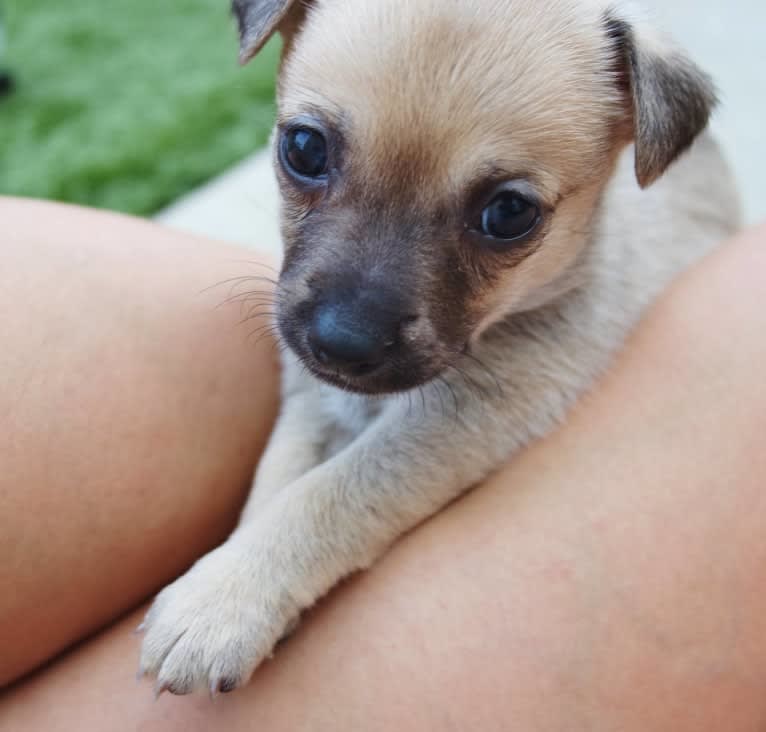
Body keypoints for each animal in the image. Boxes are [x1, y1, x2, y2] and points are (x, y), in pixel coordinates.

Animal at [136, 0, 736, 696]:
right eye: (304, 148)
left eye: (509, 213)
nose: (341, 341)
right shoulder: (314, 403)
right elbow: (276, 481)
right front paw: (230, 585)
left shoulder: (461, 422)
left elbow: (331, 493)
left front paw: (222, 599)